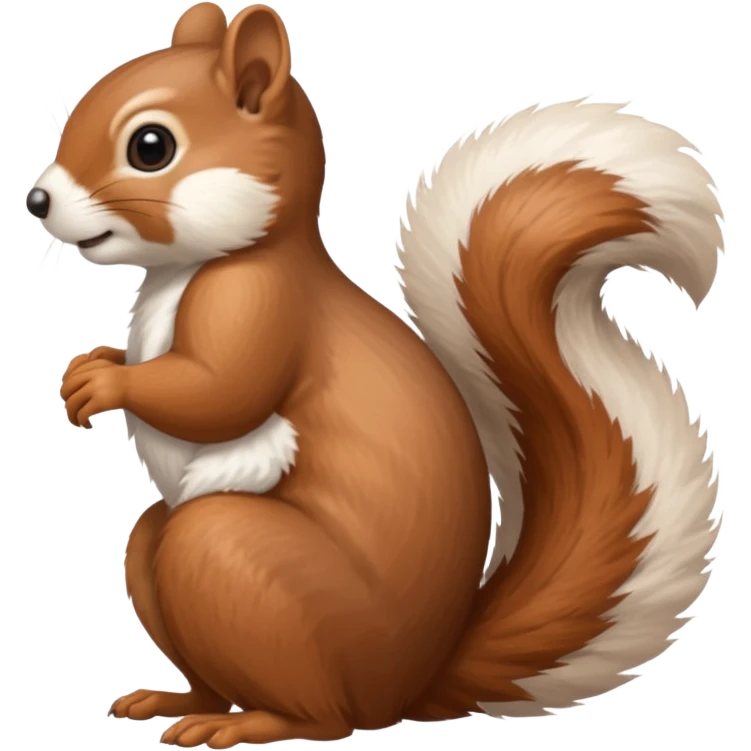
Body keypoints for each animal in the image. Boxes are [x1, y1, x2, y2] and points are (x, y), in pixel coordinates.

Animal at [29, 2, 725, 747]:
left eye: (151, 146)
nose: (37, 199)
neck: (198, 265)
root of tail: (410, 686)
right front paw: (92, 365)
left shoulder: (259, 303)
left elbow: (222, 393)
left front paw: (106, 385)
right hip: (170, 561)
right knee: (170, 581)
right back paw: (182, 700)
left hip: (235, 561)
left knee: (325, 715)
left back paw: (250, 723)